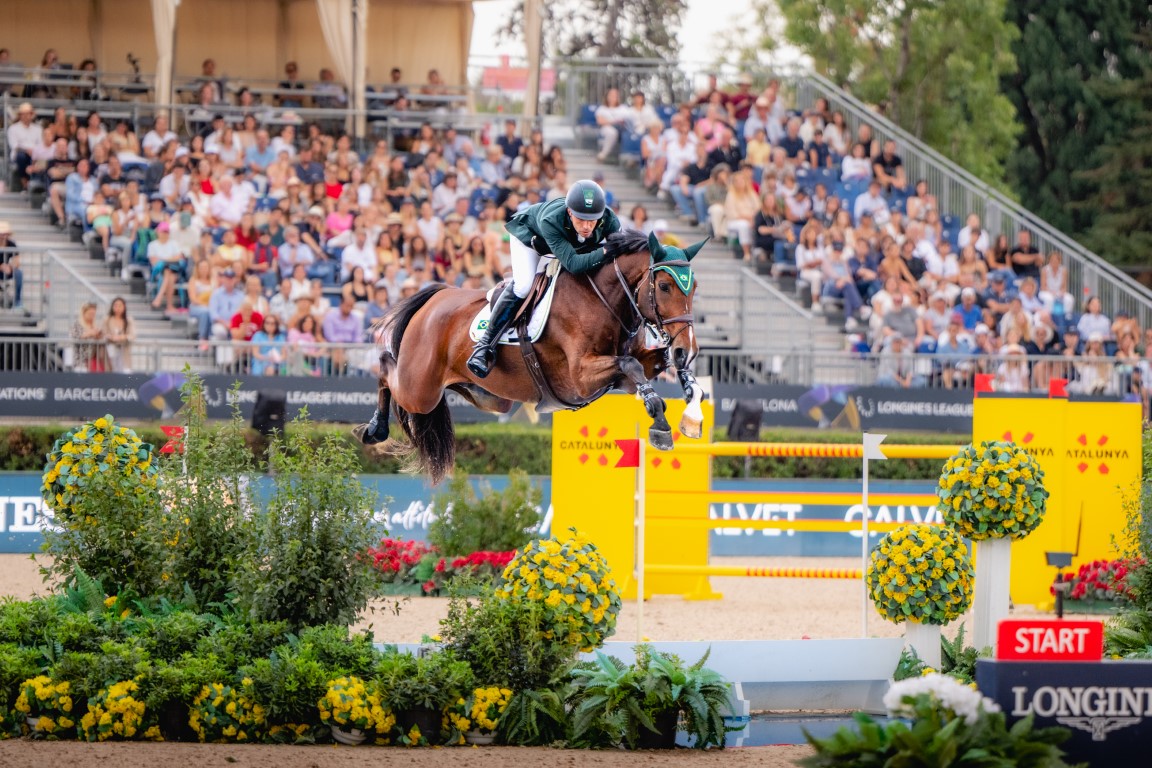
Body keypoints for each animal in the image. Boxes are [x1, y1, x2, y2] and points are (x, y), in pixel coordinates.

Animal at [354, 230, 705, 481]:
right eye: (664, 286)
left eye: (694, 288)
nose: (686, 349)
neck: (603, 298)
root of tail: (434, 298)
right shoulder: (580, 377)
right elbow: (632, 366)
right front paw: (660, 419)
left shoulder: (620, 375)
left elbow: (647, 366)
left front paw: (690, 398)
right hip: (420, 390)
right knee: (386, 370)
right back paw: (374, 429)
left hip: (488, 397)